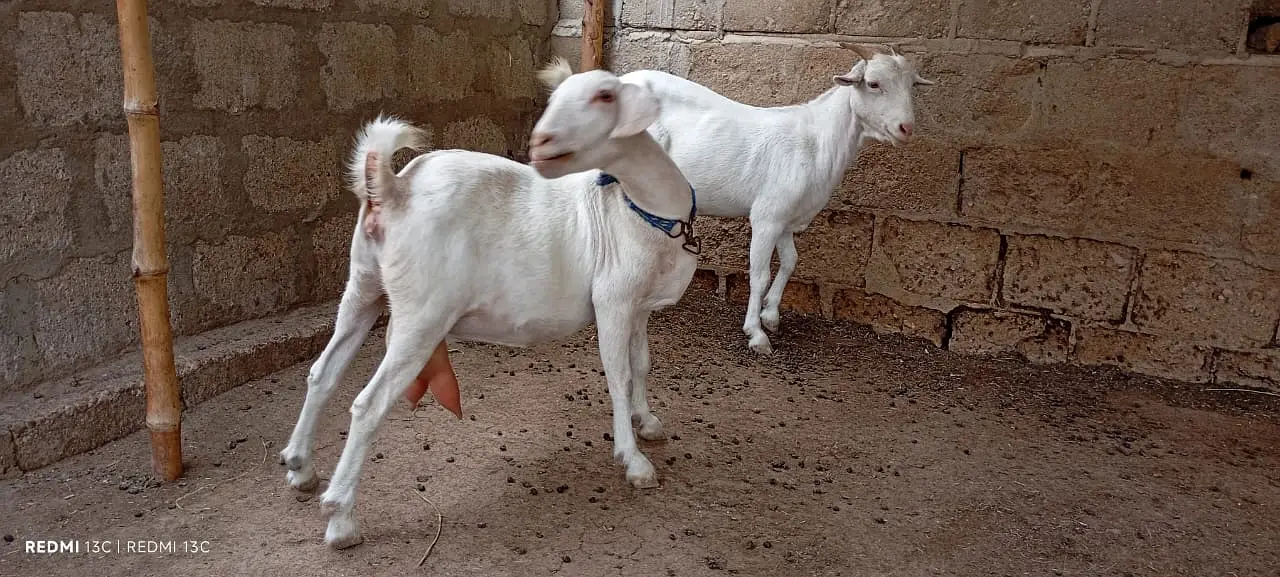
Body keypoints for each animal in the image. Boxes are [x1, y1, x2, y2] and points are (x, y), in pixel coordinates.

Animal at [279, 58, 700, 550]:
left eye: (605, 95)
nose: (541, 141)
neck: (643, 209)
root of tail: (393, 187)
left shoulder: (639, 305)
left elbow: (641, 364)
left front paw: (646, 421)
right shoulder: (613, 298)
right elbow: (618, 375)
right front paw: (633, 461)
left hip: (363, 286)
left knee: (322, 373)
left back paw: (300, 467)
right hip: (422, 313)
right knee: (368, 404)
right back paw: (341, 518)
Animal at [620, 43, 934, 354]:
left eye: (912, 85)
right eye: (873, 83)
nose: (906, 128)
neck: (817, 143)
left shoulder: (787, 219)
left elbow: (791, 261)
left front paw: (770, 314)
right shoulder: (767, 217)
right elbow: (759, 275)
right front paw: (756, 334)